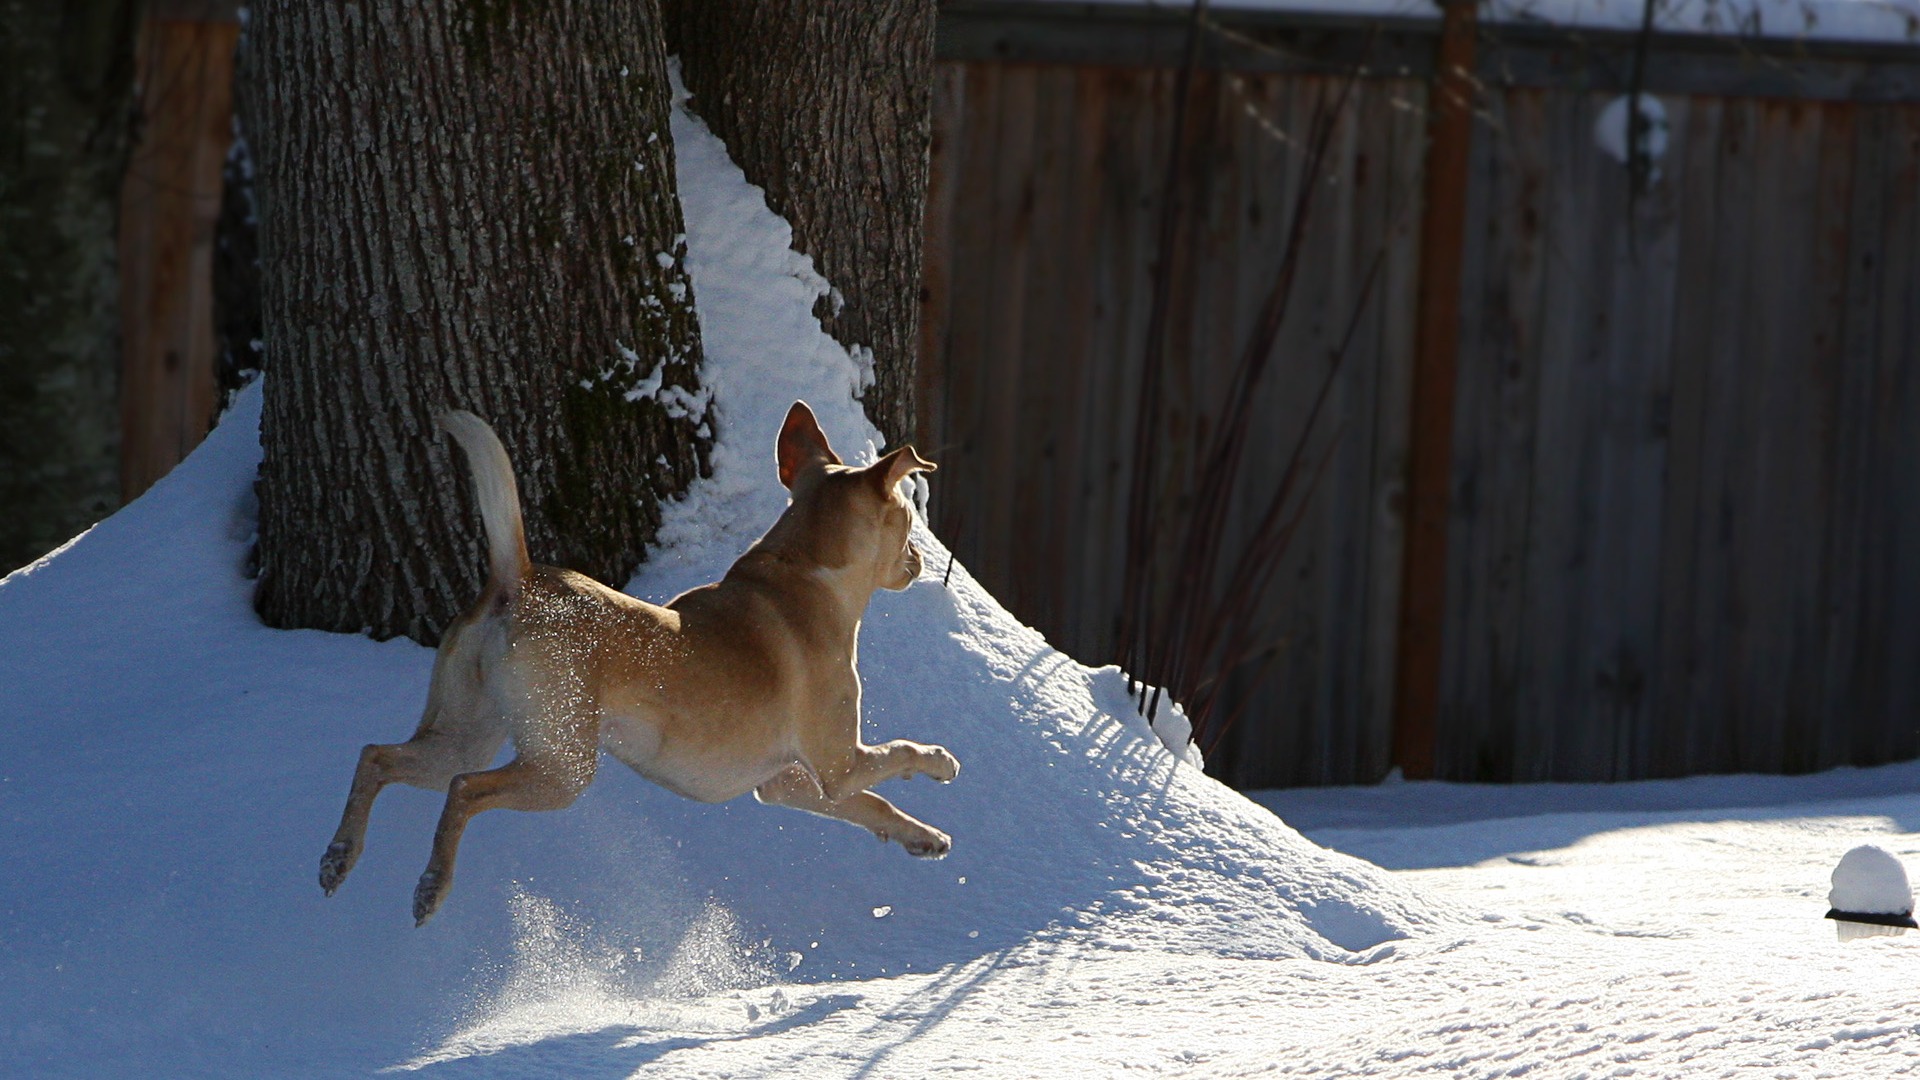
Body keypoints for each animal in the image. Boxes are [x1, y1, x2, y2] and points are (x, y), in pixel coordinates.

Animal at [322, 399, 967, 922]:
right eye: (907, 516)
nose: (917, 560)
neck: (804, 571)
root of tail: (519, 580)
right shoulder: (839, 765)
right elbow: (897, 756)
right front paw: (941, 762)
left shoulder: (787, 784)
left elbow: (871, 805)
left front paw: (923, 837)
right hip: (562, 768)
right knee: (463, 790)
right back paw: (431, 885)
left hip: (464, 732)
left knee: (377, 757)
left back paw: (339, 856)